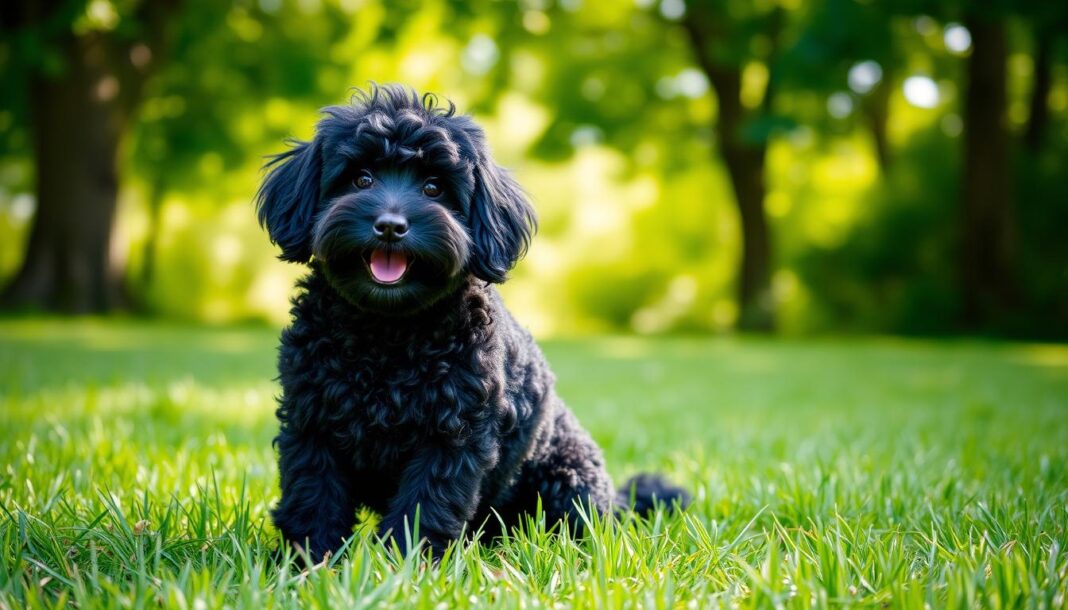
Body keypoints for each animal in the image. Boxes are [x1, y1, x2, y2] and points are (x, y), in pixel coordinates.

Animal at [260, 85, 692, 564]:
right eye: (361, 179)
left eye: (434, 187)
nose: (390, 226)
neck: (387, 334)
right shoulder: (312, 425)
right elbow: (314, 497)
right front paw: (308, 562)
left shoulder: (453, 436)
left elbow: (424, 504)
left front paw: (406, 566)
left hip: (569, 480)